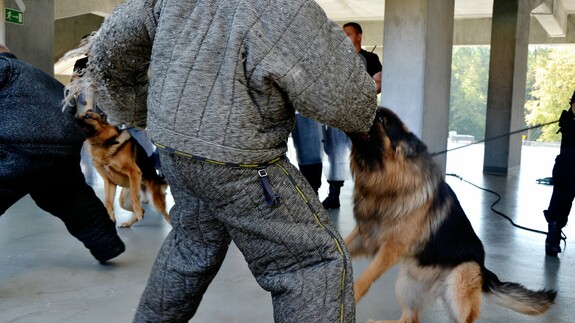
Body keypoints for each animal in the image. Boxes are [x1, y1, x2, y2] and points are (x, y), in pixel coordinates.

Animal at [346, 109, 560, 323]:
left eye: (381, 119)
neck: (385, 181)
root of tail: (484, 269)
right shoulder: (364, 235)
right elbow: (346, 246)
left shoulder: (391, 248)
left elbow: (366, 276)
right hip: (406, 280)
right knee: (409, 318)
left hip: (459, 285)